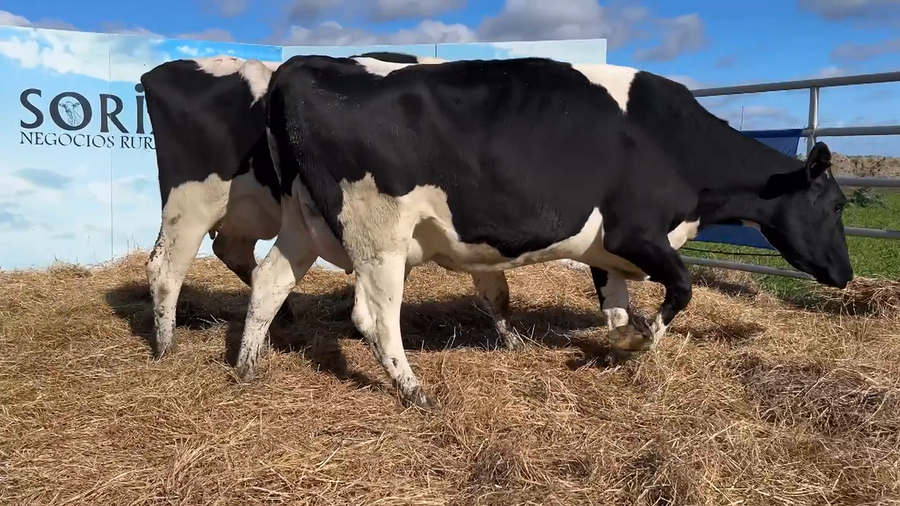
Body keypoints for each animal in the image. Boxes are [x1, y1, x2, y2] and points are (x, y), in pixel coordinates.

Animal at [139, 52, 548, 360]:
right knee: (166, 270)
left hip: (240, 213)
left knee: (232, 252)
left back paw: (284, 313)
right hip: (190, 207)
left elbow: (494, 289)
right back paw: (167, 347)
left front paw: (513, 341)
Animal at [233, 54, 854, 411]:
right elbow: (681, 290)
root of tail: (298, 67)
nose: (846, 274)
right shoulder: (637, 233)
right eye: (838, 204)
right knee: (375, 317)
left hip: (303, 223)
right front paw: (642, 340)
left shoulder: (609, 249)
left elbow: (617, 306)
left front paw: (621, 343)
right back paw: (414, 390)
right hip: (377, 235)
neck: (676, 146)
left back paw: (246, 366)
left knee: (269, 280)